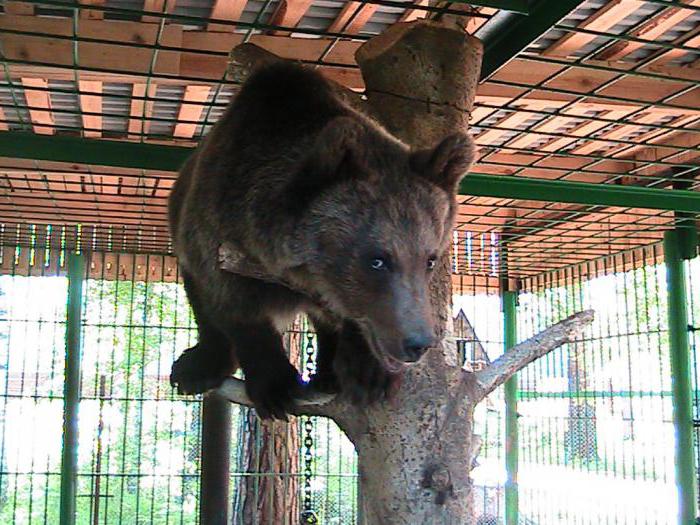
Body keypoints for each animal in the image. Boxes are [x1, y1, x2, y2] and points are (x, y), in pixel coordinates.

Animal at [170, 58, 476, 418]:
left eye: (430, 259)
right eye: (376, 260)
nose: (418, 342)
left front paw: (369, 373)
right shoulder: (216, 227)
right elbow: (234, 307)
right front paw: (275, 386)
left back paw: (329, 373)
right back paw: (198, 366)